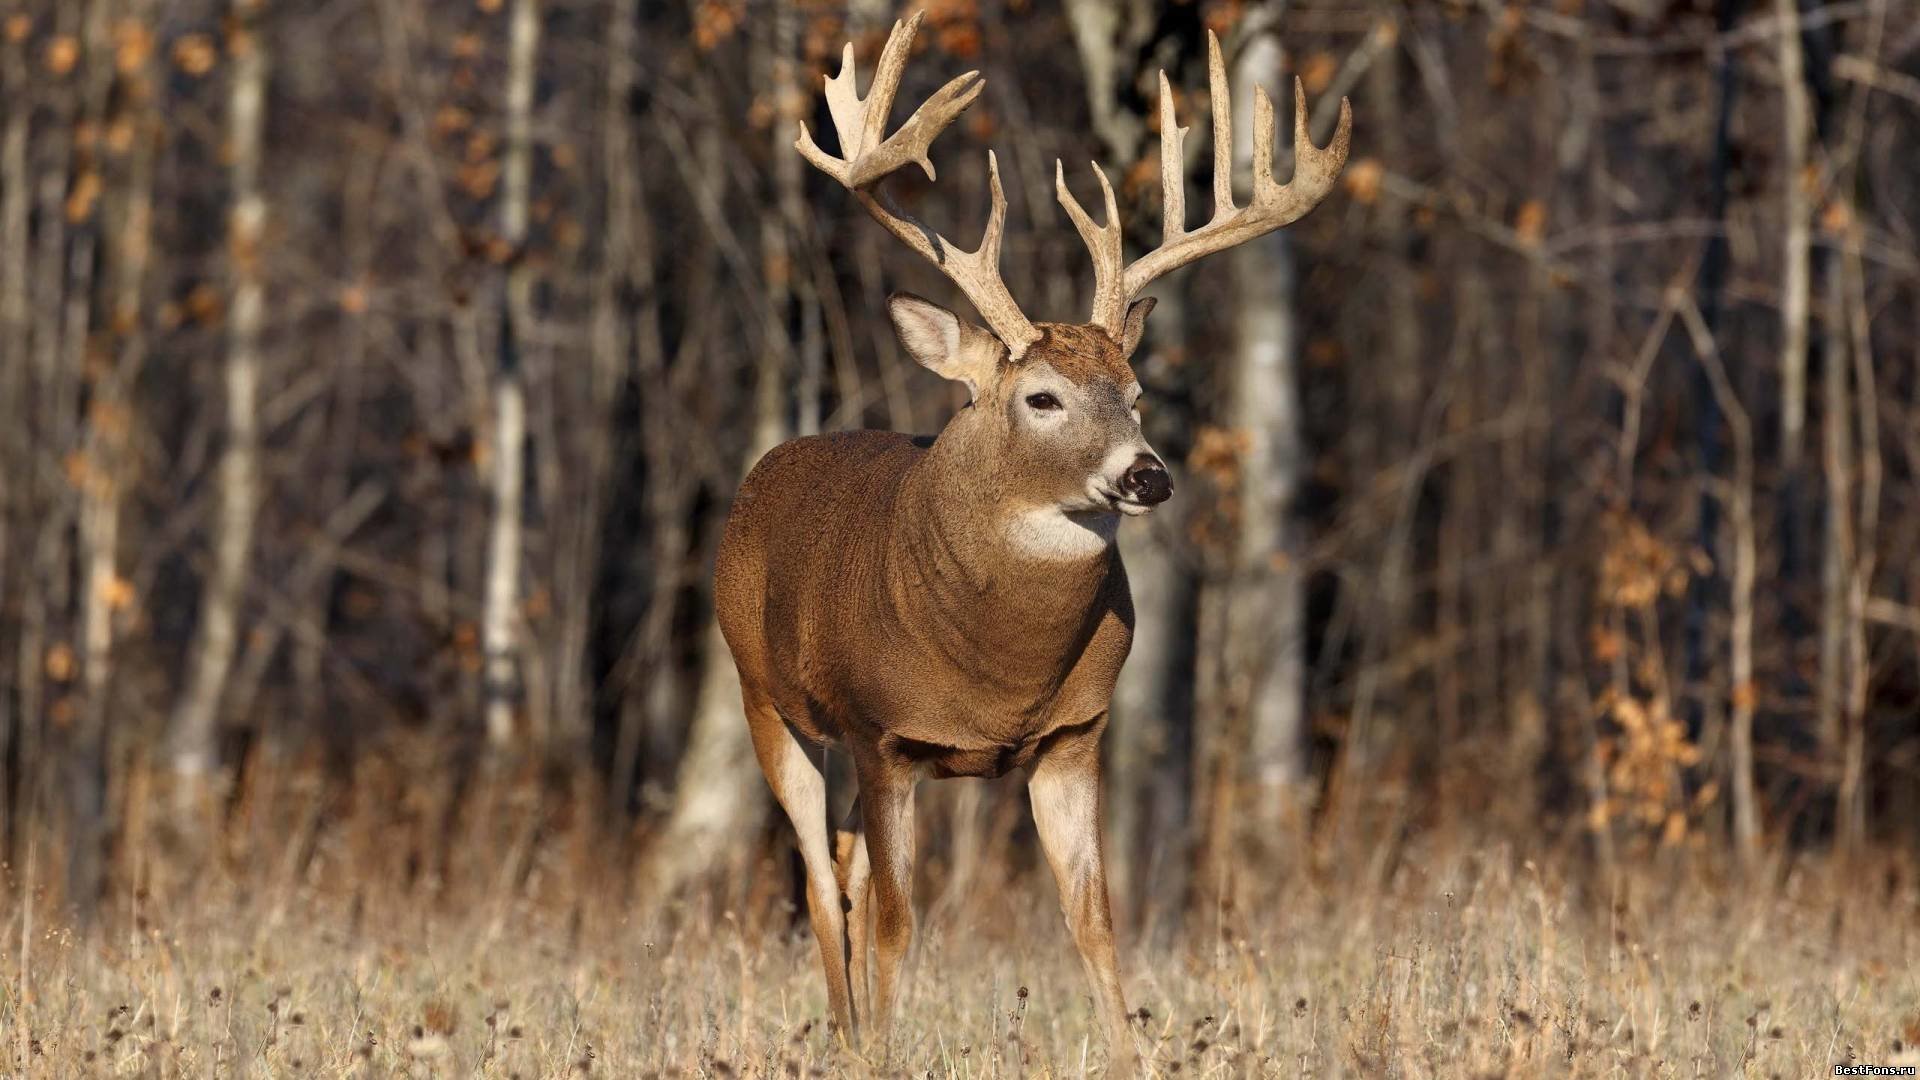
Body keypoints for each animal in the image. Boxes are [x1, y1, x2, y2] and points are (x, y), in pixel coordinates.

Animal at [712, 12, 1349, 1072]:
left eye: (1135, 392)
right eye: (1041, 398)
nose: (1147, 475)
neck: (999, 671)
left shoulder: (1074, 736)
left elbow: (1093, 919)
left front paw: (1131, 1054)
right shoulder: (884, 735)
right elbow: (899, 922)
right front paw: (885, 1054)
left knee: (841, 866)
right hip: (767, 699)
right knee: (816, 877)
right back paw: (848, 1036)